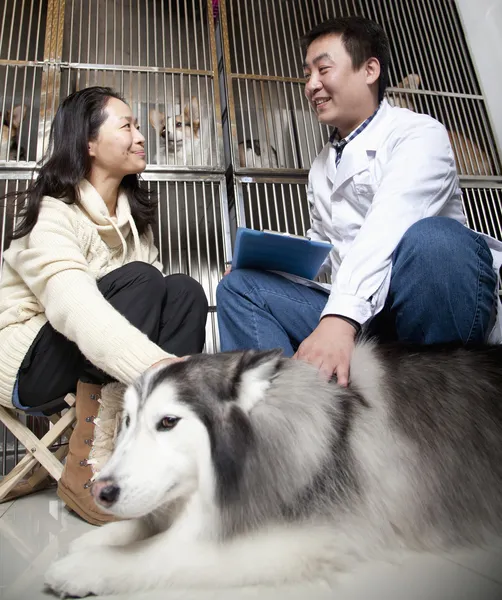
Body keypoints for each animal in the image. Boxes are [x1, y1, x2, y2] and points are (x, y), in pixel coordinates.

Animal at [45, 340, 502, 596]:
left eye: (168, 422)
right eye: (126, 422)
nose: (99, 491)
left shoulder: (306, 539)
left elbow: (162, 553)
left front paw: (86, 567)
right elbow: (144, 527)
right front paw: (99, 539)